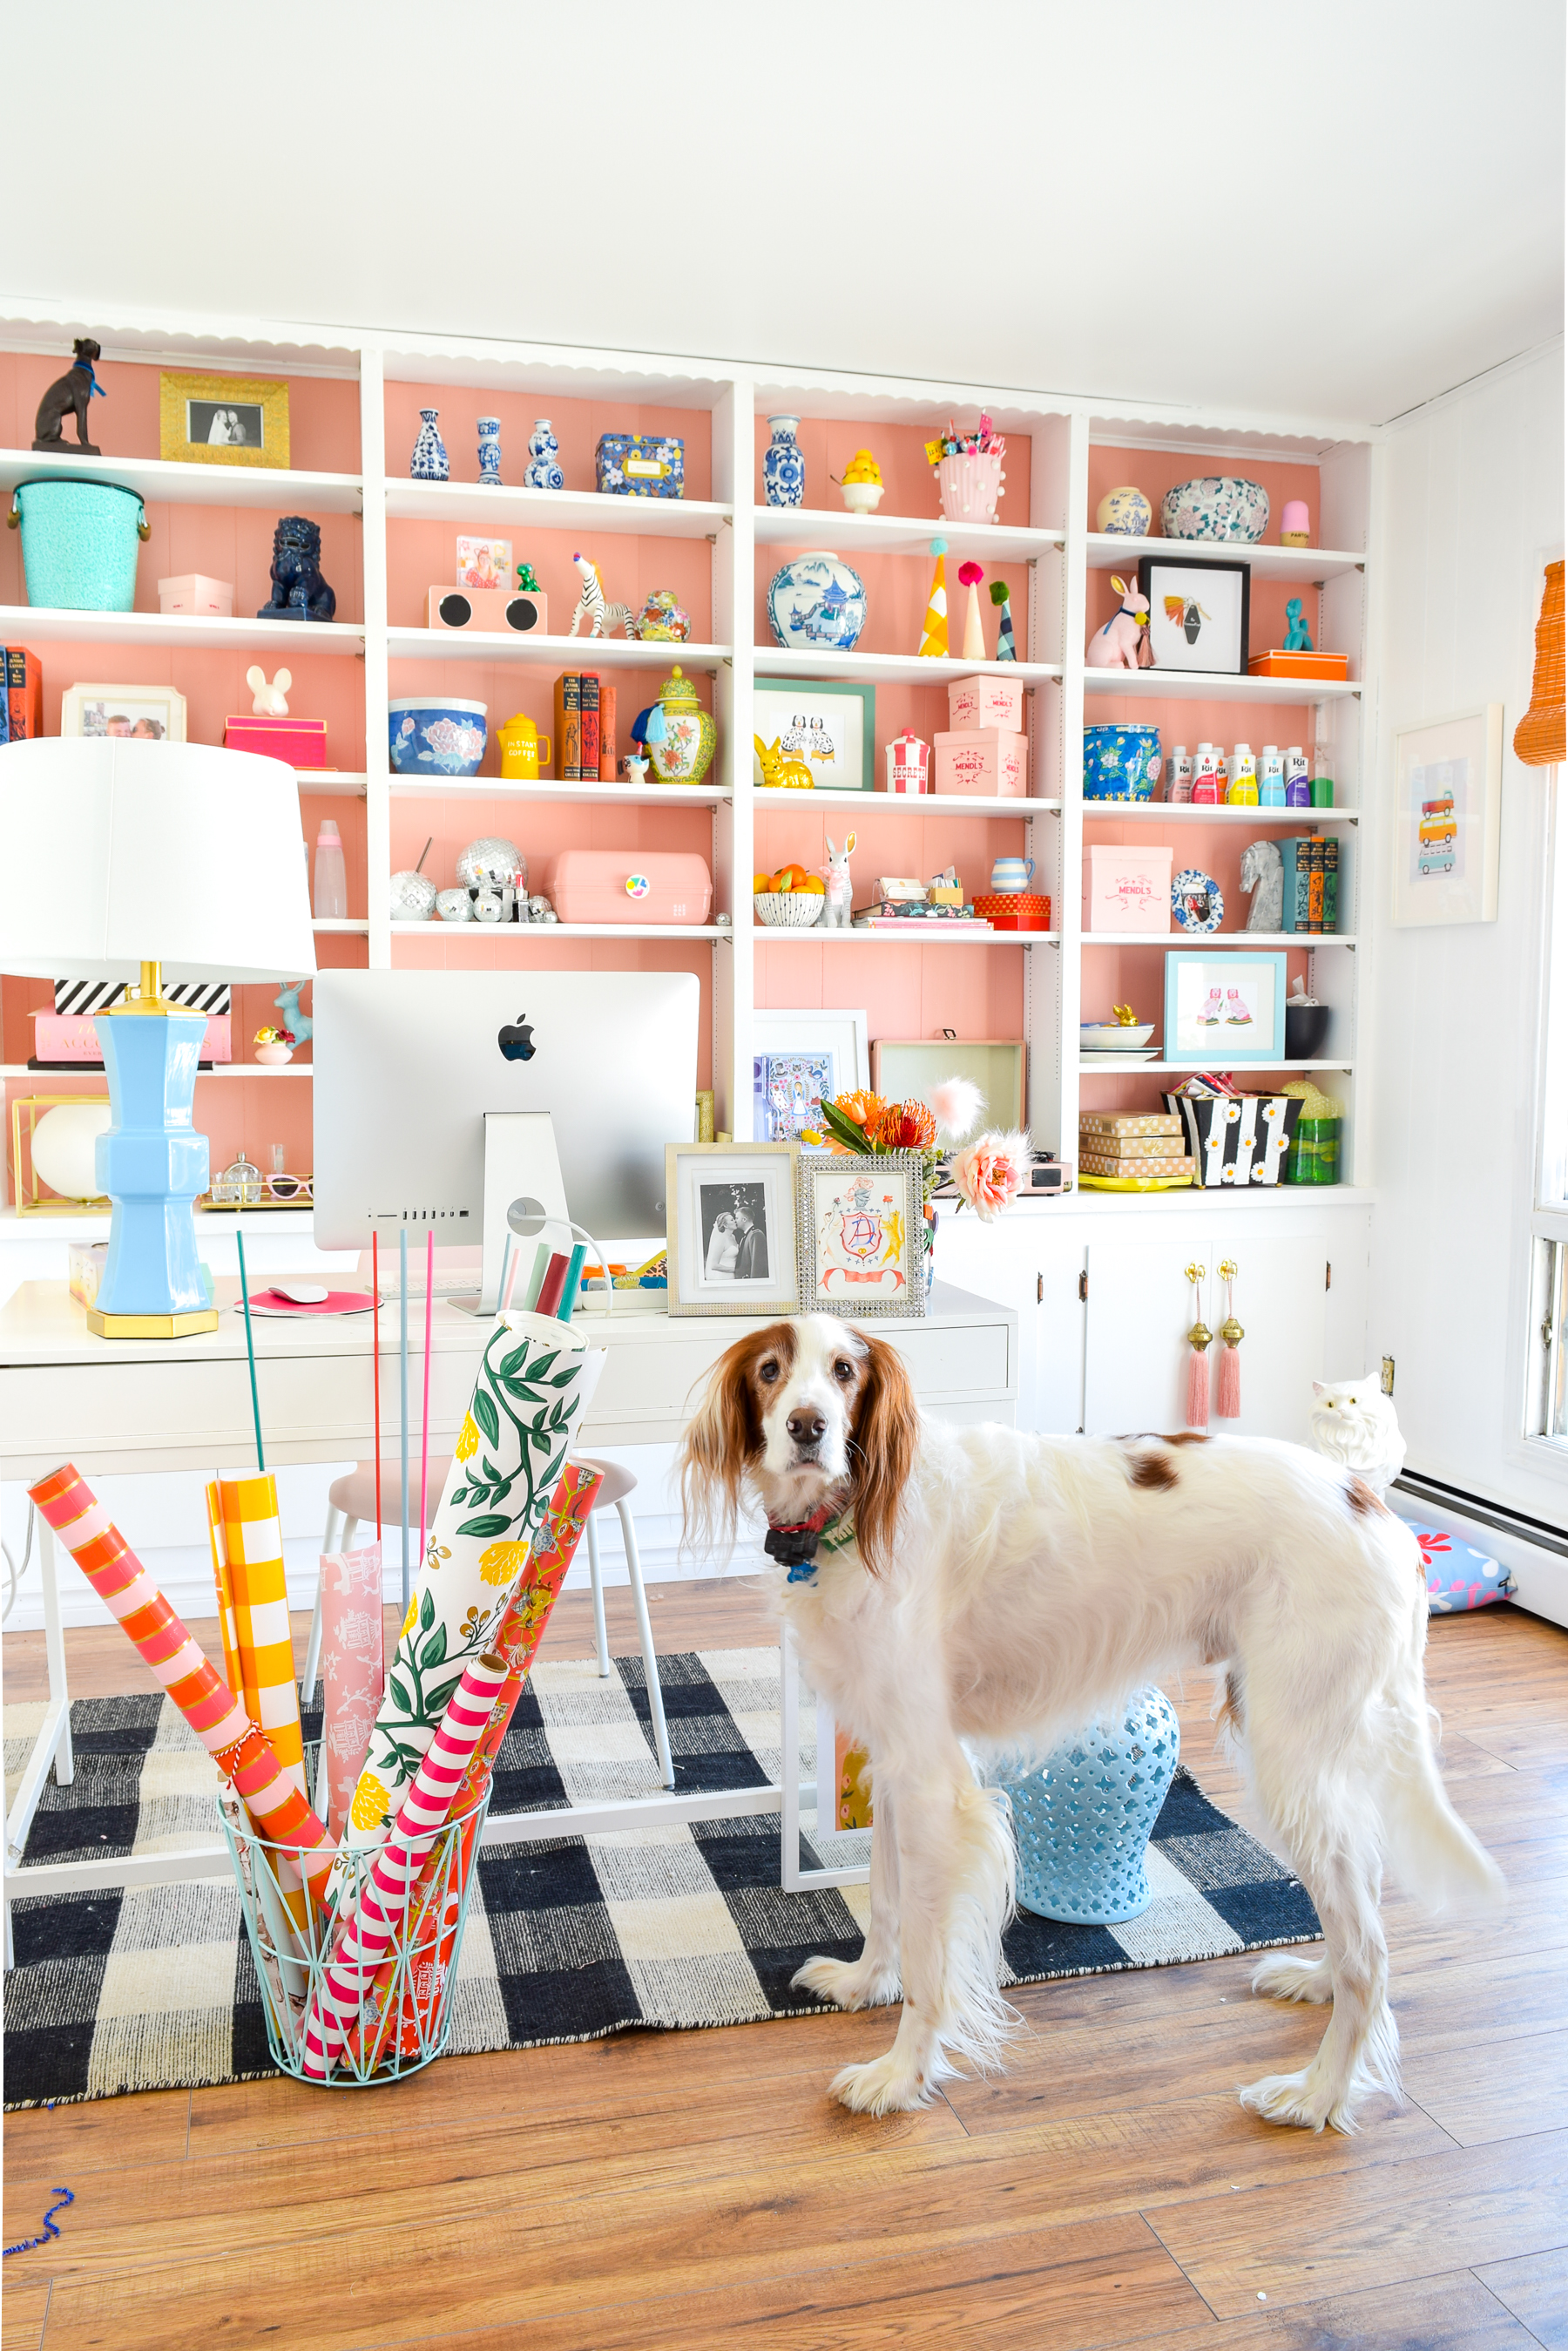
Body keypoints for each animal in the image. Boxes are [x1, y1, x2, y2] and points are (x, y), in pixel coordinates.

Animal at [677, 1325, 1504, 2134]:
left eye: (844, 1372)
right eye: (771, 1371)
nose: (807, 1426)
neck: (856, 1511)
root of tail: (1371, 1503)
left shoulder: (935, 1785)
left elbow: (927, 1953)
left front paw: (899, 2076)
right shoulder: (893, 1758)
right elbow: (884, 1896)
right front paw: (862, 1983)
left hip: (1288, 1756)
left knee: (1371, 1950)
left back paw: (1318, 2094)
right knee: (1361, 1898)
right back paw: (1317, 1981)